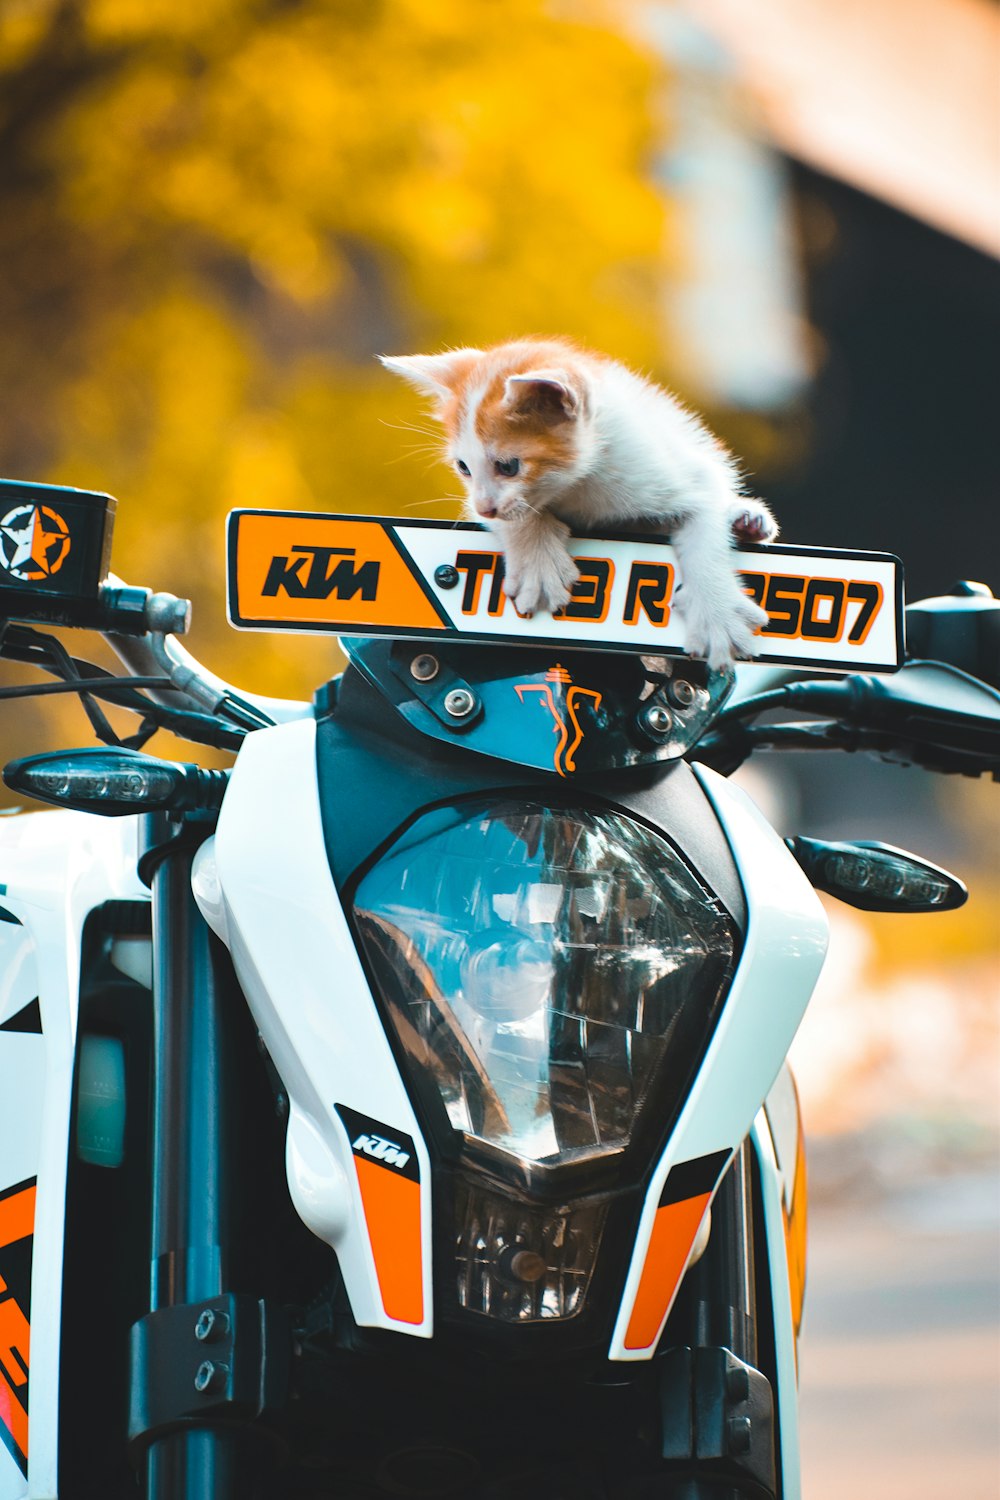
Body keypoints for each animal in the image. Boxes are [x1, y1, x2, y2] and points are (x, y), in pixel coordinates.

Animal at [379, 343, 779, 672]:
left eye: (508, 466)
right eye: (463, 467)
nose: (486, 509)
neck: (576, 483)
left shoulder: (676, 472)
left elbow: (704, 530)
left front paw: (716, 614)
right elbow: (519, 514)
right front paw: (537, 561)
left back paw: (745, 519)